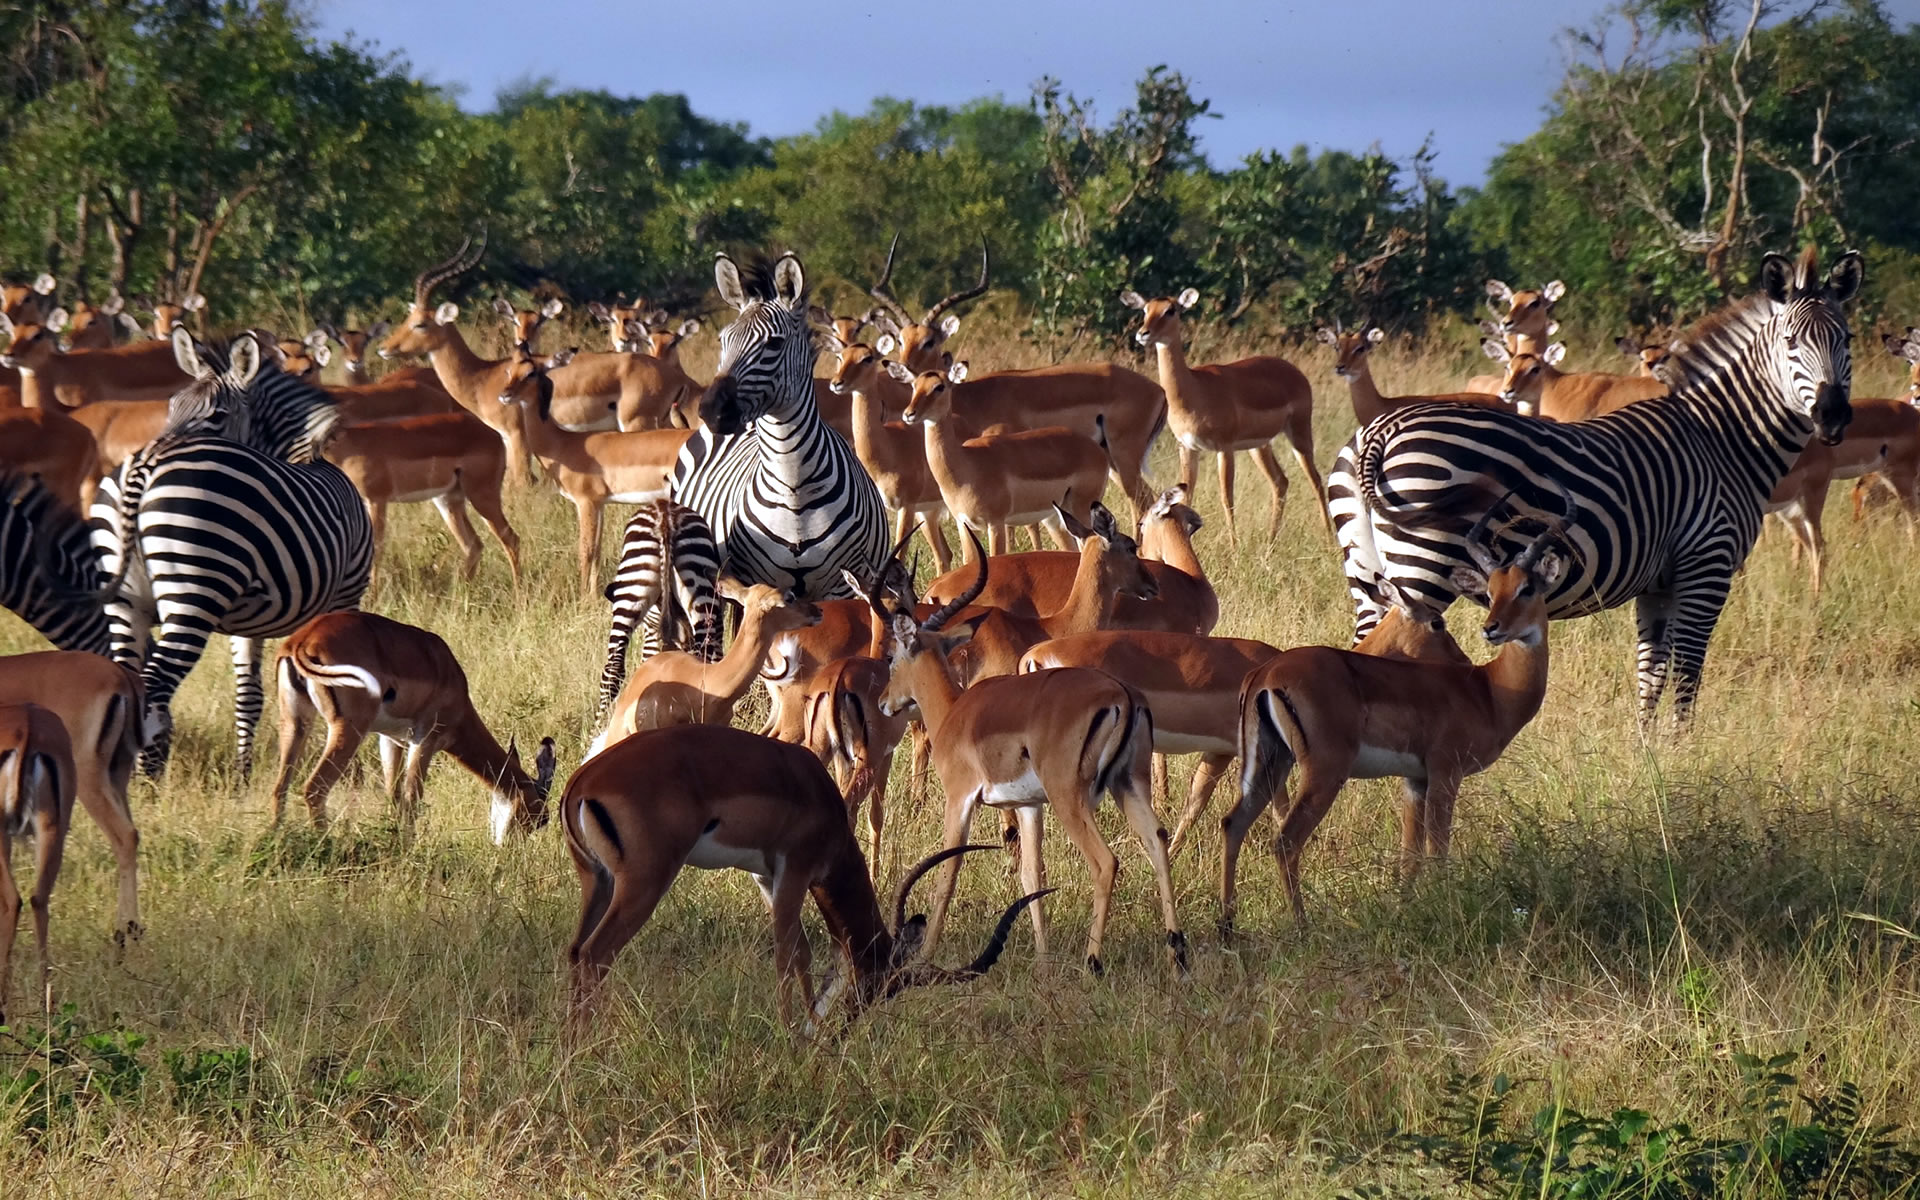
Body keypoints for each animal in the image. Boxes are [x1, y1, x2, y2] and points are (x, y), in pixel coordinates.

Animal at [91, 331, 374, 776]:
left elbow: (248, 695)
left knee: (131, 680)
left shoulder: (249, 620)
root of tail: (145, 463)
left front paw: (243, 775)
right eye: (172, 407)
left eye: (217, 415)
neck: (301, 456)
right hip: (193, 590)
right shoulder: (349, 592)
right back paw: (148, 780)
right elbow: (340, 682)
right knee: (155, 687)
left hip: (125, 601)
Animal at [668, 252, 889, 599]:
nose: (712, 411)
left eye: (774, 343)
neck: (793, 486)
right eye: (722, 340)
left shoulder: (842, 587)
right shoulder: (750, 582)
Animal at [1329, 246, 1861, 725]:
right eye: (1791, 342)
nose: (1833, 416)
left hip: (1364, 569)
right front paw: (1682, 750)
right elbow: (1687, 676)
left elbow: (1650, 673)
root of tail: (1378, 432)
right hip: (1421, 567)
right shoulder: (1707, 566)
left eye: (1847, 339)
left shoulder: (1658, 585)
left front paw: (1648, 754)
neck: (1723, 439)